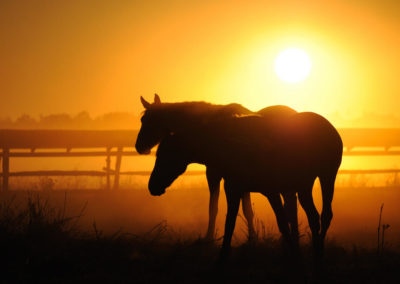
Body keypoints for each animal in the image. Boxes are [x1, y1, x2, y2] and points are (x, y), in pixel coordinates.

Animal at [136, 95, 298, 242]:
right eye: (142, 120)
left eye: (147, 120)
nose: (139, 146)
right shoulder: (220, 175)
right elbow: (221, 208)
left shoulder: (221, 175)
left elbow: (239, 210)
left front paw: (250, 237)